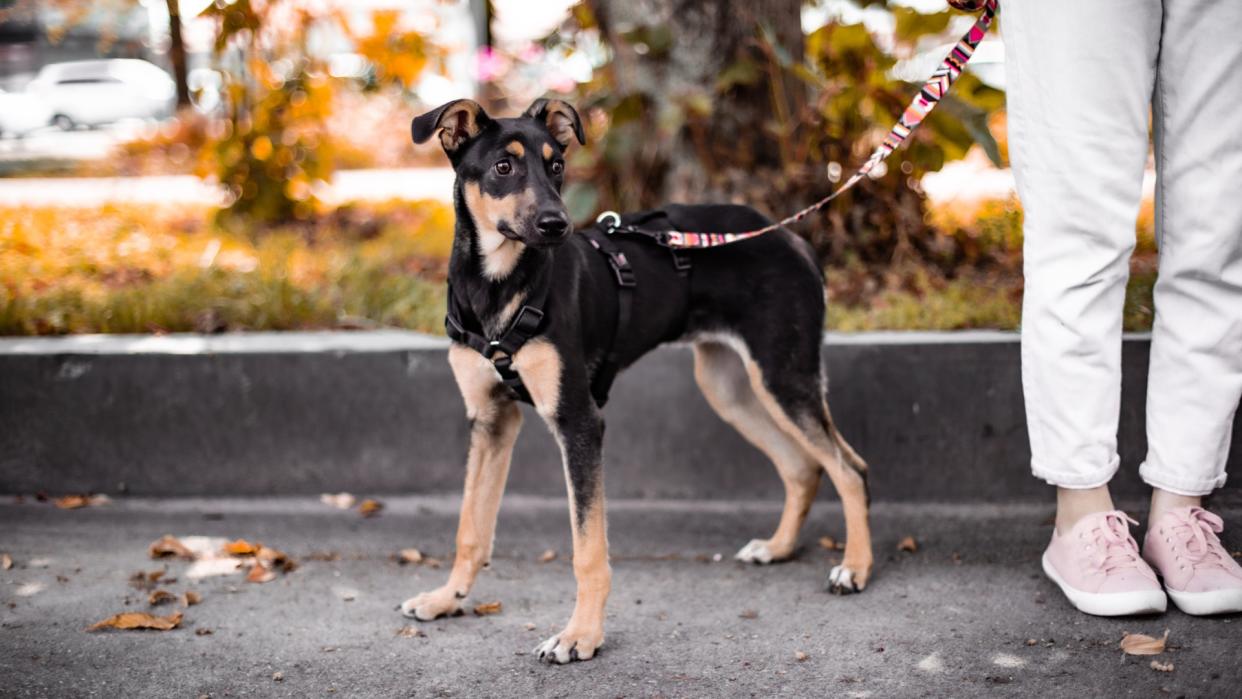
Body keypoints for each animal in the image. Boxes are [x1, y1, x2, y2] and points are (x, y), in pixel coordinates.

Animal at [402, 96, 869, 660]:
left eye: (557, 165)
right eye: (503, 167)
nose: (557, 224)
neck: (497, 285)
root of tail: (791, 238)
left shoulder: (579, 422)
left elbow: (587, 549)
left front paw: (581, 635)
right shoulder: (490, 419)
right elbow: (470, 527)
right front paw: (446, 598)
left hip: (783, 373)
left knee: (850, 468)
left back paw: (855, 569)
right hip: (730, 386)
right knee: (802, 467)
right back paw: (777, 548)